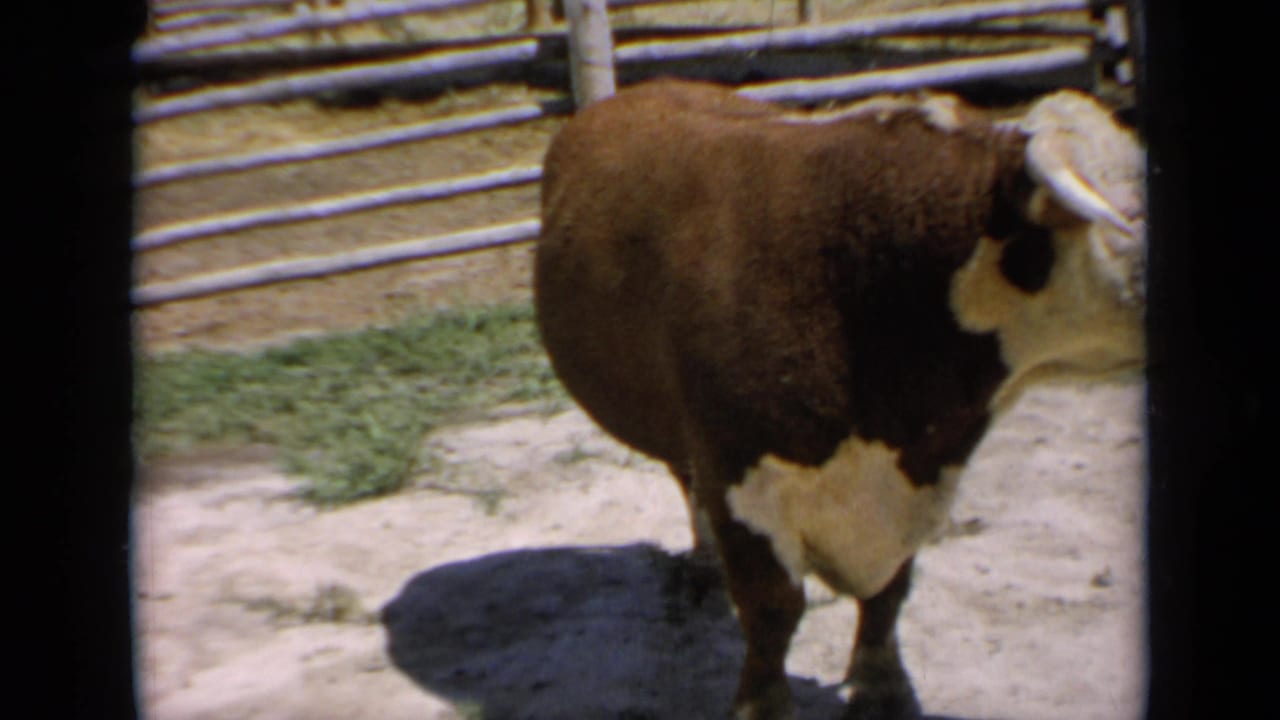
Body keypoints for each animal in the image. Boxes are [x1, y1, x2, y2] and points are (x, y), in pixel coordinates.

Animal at [533, 78, 1144, 720]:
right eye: (1129, 213)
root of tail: (648, 89)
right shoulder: (739, 474)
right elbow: (773, 610)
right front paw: (763, 705)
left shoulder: (913, 482)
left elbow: (889, 593)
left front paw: (883, 685)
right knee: (686, 479)